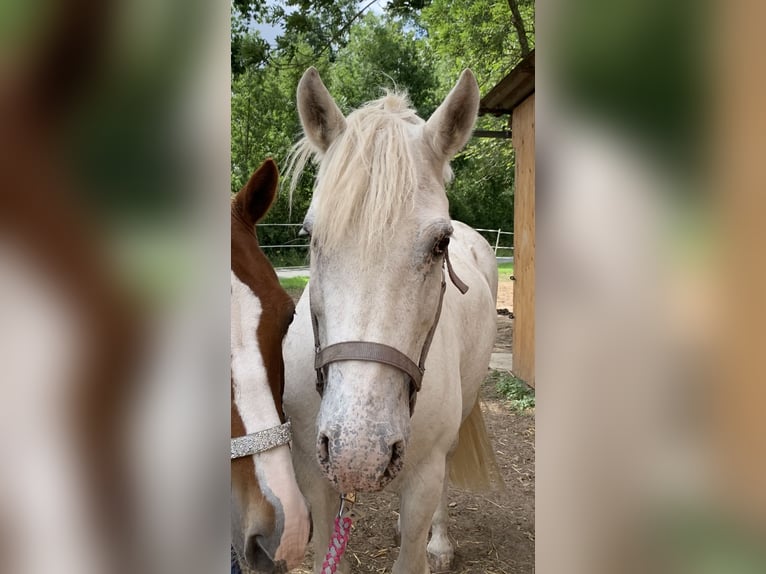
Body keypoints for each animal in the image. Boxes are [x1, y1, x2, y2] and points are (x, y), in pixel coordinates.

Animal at [283, 68, 500, 573]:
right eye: (310, 236)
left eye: (441, 244)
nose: (358, 454)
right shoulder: (313, 472)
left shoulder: (424, 475)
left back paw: (438, 544)